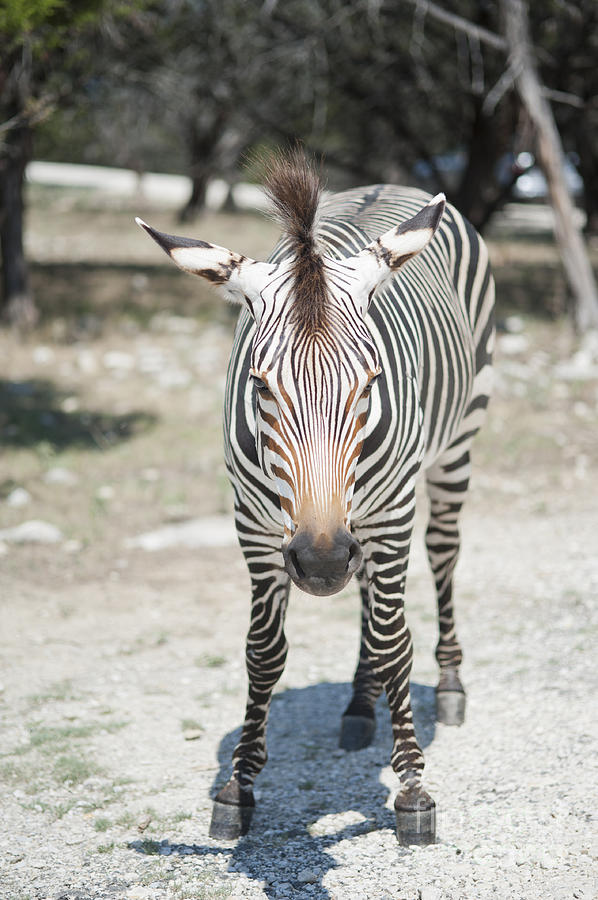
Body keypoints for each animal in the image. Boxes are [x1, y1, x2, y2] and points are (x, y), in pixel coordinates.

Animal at [137, 148, 496, 844]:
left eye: (372, 380)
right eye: (259, 385)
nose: (323, 559)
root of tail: (389, 183)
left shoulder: (389, 511)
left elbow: (395, 643)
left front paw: (413, 790)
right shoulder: (255, 525)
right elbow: (263, 653)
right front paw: (238, 789)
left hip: (455, 445)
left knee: (442, 557)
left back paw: (451, 685)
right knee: (369, 595)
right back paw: (359, 703)